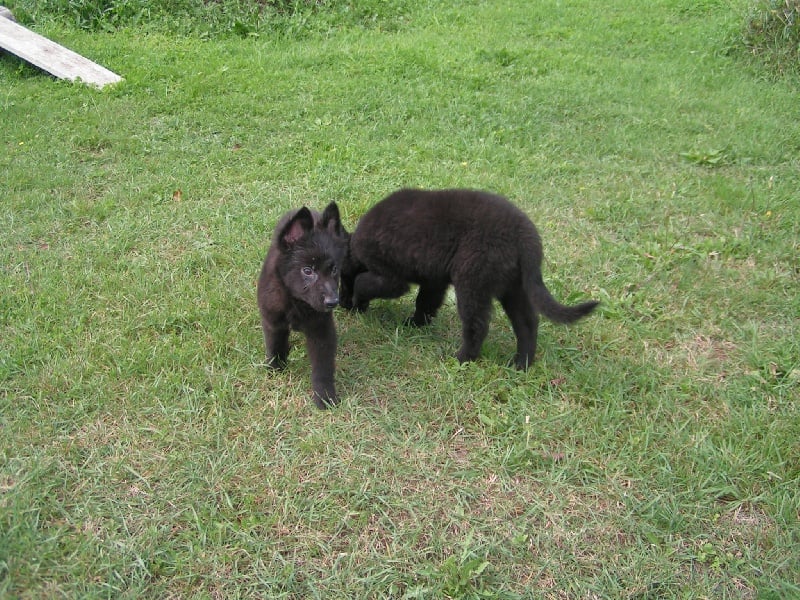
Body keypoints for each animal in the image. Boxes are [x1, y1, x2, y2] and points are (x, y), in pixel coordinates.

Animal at [255, 202, 346, 408]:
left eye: (334, 269)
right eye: (307, 270)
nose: (332, 302)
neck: (296, 302)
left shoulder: (321, 329)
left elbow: (323, 367)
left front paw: (324, 397)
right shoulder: (273, 320)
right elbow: (274, 345)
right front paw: (275, 369)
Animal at [342, 189, 600, 370]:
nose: (343, 307)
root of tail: (526, 238)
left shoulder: (392, 278)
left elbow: (363, 282)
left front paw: (357, 301)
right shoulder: (434, 280)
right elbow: (425, 303)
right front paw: (415, 324)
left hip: (472, 281)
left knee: (477, 325)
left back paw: (462, 358)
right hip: (514, 287)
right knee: (527, 323)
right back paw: (521, 364)